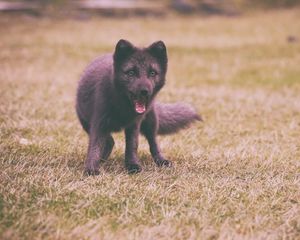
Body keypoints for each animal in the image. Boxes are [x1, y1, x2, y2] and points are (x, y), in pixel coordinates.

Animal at [76, 39, 200, 174]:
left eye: (152, 73)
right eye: (131, 73)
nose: (144, 92)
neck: (123, 107)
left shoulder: (134, 125)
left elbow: (132, 146)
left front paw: (133, 165)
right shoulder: (99, 124)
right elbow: (95, 146)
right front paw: (91, 169)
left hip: (151, 122)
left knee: (154, 143)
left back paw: (161, 161)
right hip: (86, 123)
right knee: (109, 141)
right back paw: (103, 159)